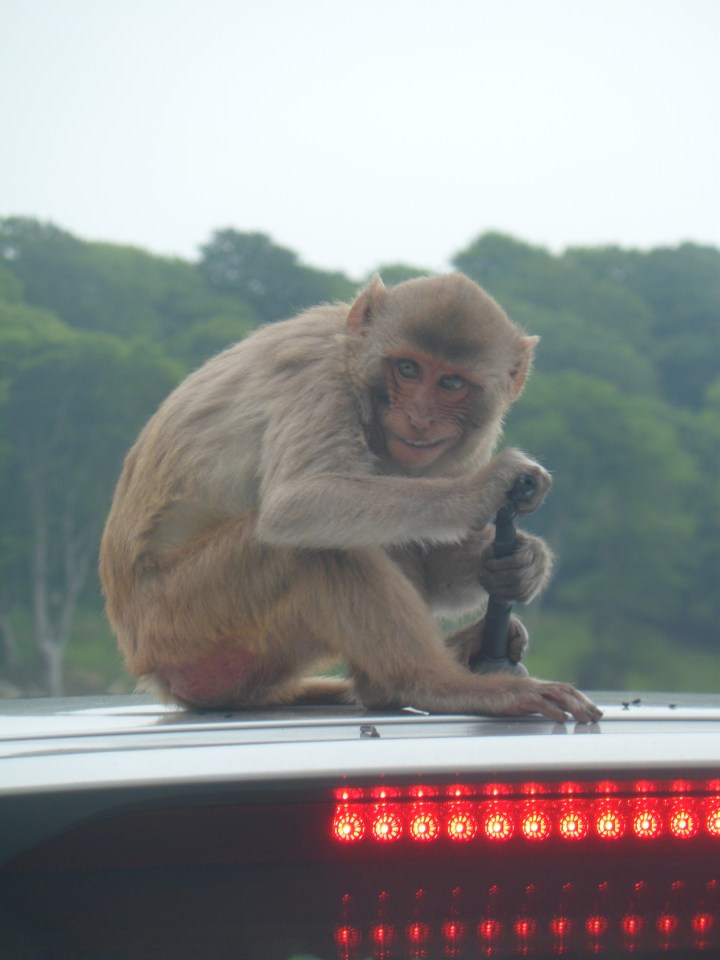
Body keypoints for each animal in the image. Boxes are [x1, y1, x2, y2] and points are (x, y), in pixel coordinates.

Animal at [100, 270, 600, 720]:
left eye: (451, 383)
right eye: (408, 369)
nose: (418, 417)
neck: (356, 364)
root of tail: (154, 673)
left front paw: (521, 564)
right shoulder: (321, 380)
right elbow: (298, 503)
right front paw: (485, 489)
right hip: (184, 618)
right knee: (312, 550)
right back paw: (432, 684)